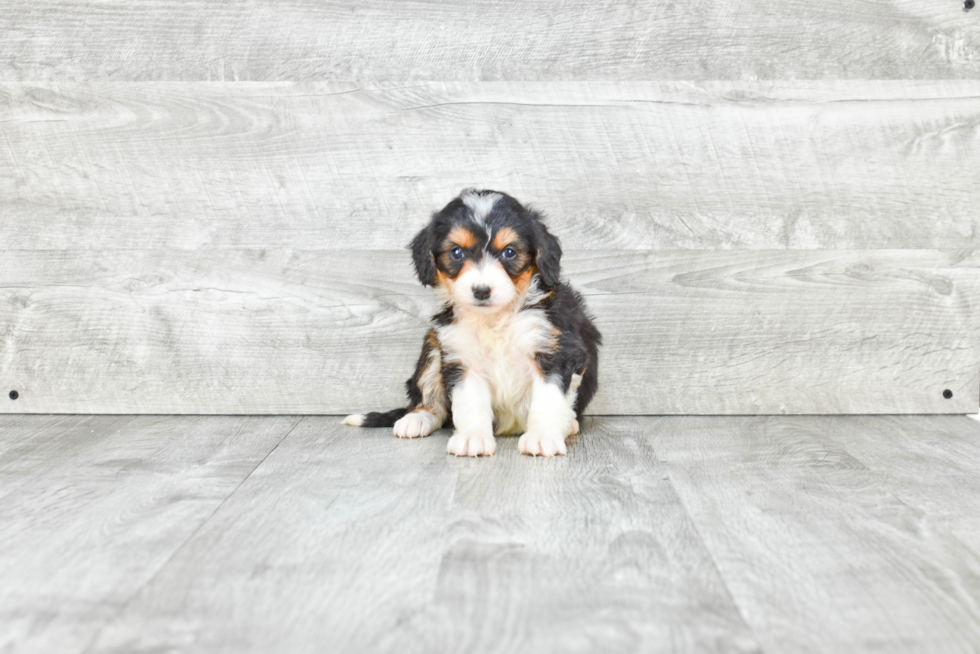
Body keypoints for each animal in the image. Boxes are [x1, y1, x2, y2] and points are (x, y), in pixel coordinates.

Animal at [344, 187, 604, 458]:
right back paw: (417, 419)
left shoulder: (554, 351)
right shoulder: (462, 358)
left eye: (509, 252)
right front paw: (472, 438)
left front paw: (542, 437)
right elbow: (470, 402)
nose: (481, 290)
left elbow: (548, 400)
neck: (495, 318)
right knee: (433, 403)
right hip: (433, 345)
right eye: (457, 252)